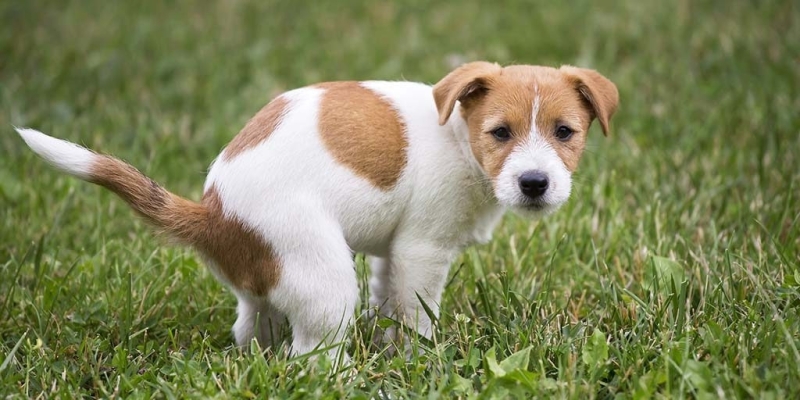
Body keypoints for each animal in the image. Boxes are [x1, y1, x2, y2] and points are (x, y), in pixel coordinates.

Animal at [17, 61, 620, 360]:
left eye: (565, 132)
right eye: (499, 133)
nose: (535, 183)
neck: (457, 136)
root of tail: (212, 212)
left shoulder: (393, 254)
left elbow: (389, 302)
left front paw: (392, 351)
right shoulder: (422, 250)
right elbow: (416, 314)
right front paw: (418, 361)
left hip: (269, 281)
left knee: (253, 329)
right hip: (324, 278)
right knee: (309, 357)